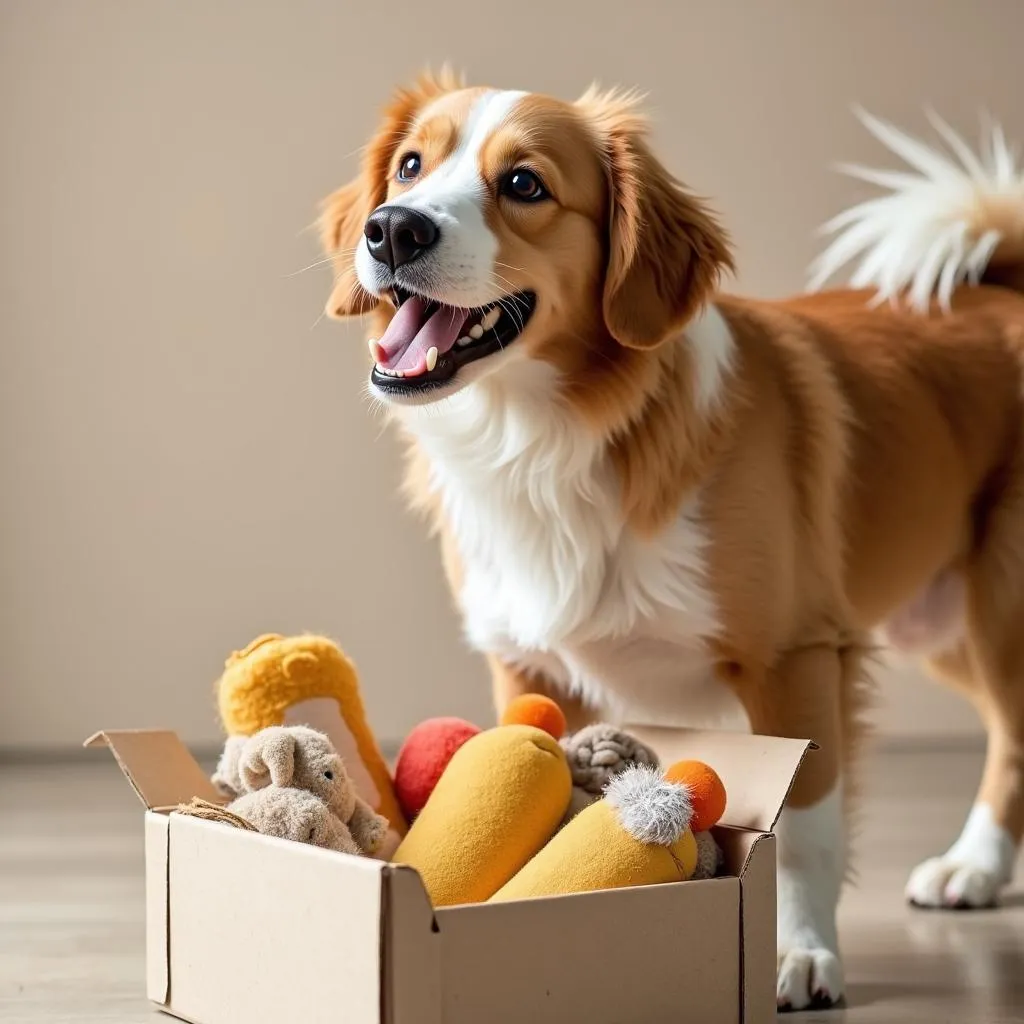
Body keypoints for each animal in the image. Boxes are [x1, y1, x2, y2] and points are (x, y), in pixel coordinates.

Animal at [317, 72, 1024, 1007]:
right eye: (408, 166)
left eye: (525, 184)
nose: (393, 227)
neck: (550, 444)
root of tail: (1006, 292)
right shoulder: (527, 666)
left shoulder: (794, 658)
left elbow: (804, 830)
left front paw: (802, 953)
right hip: (937, 622)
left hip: (1000, 612)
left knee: (1014, 734)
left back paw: (974, 862)